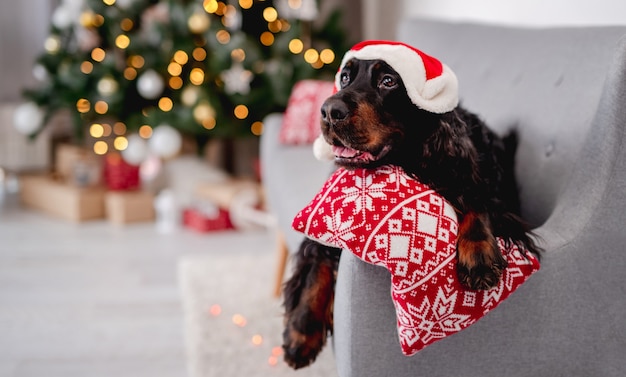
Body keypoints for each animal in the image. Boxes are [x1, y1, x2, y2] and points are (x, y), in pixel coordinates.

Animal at [280, 55, 536, 368]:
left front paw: (479, 255)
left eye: (388, 81)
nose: (329, 111)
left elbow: (479, 201)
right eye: (345, 77)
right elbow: (317, 263)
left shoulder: (482, 185)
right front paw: (301, 334)